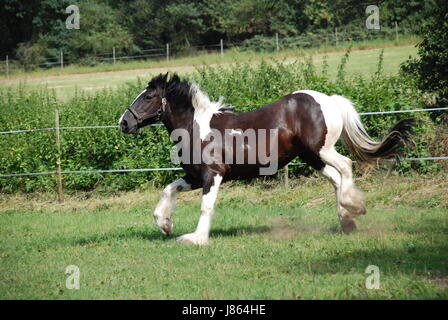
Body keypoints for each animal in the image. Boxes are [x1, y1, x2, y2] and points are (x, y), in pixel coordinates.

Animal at [118, 74, 412, 245]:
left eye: (147, 96)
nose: (123, 123)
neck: (196, 128)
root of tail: (329, 100)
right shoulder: (194, 176)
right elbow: (168, 189)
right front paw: (165, 224)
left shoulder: (213, 174)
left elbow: (206, 207)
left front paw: (195, 238)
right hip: (311, 157)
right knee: (336, 179)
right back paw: (347, 221)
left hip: (322, 150)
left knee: (346, 167)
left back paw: (354, 207)